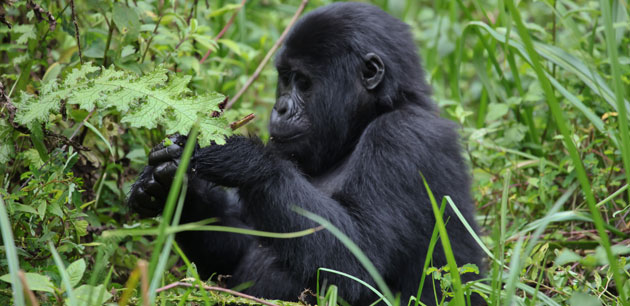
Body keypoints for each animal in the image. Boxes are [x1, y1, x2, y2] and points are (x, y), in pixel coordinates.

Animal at [128, 1, 484, 304]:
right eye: (285, 80)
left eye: (302, 81)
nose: (280, 108)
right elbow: (235, 249)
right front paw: (171, 185)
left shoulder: (403, 137)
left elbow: (358, 263)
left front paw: (247, 161)